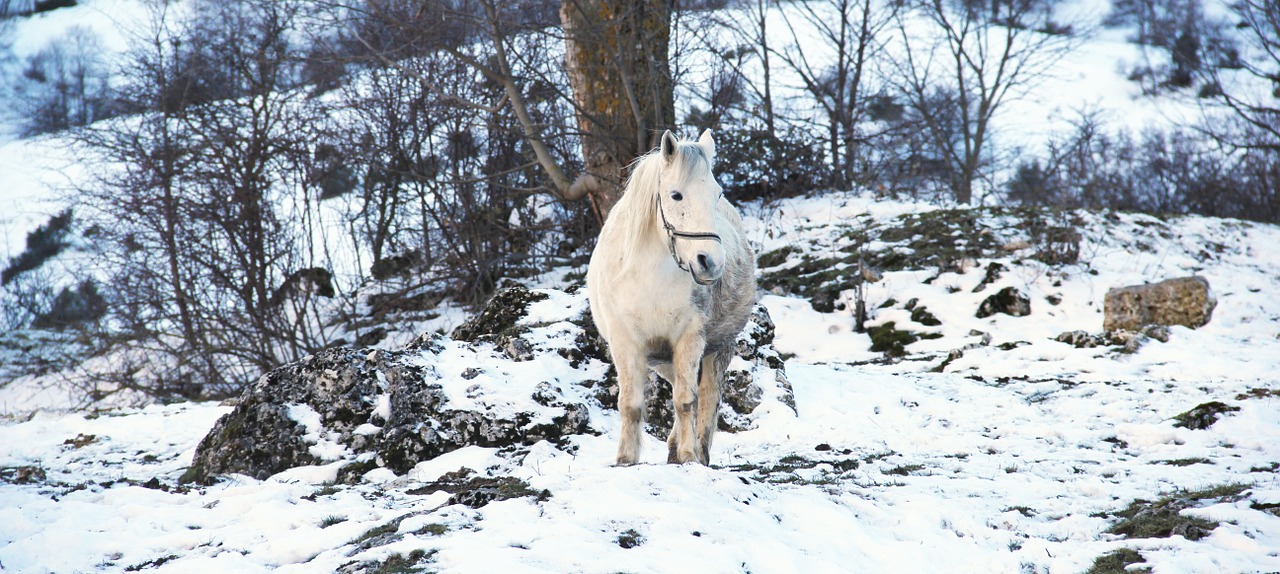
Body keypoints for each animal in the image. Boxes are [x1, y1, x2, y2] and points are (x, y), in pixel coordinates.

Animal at [591, 130, 757, 466]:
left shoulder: (690, 338)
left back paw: (699, 449)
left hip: (720, 347)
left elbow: (685, 400)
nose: (710, 262)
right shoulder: (626, 341)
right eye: (676, 195)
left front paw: (689, 455)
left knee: (707, 394)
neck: (650, 275)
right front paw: (626, 459)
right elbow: (631, 404)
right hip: (661, 358)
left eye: (717, 194)